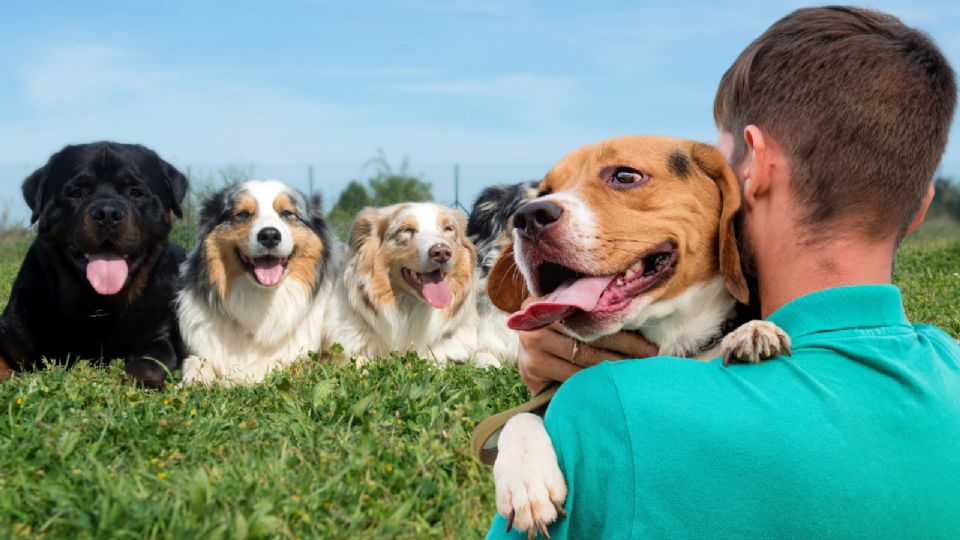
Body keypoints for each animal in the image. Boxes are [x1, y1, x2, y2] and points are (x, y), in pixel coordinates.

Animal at [178, 180, 340, 384]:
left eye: (287, 213)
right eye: (243, 214)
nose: (269, 235)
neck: (262, 297)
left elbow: (268, 362)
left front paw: (230, 382)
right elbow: (196, 363)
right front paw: (192, 383)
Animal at [484, 136, 792, 536]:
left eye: (625, 176)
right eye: (545, 192)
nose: (527, 217)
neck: (670, 340)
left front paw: (754, 331)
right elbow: (518, 418)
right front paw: (526, 479)